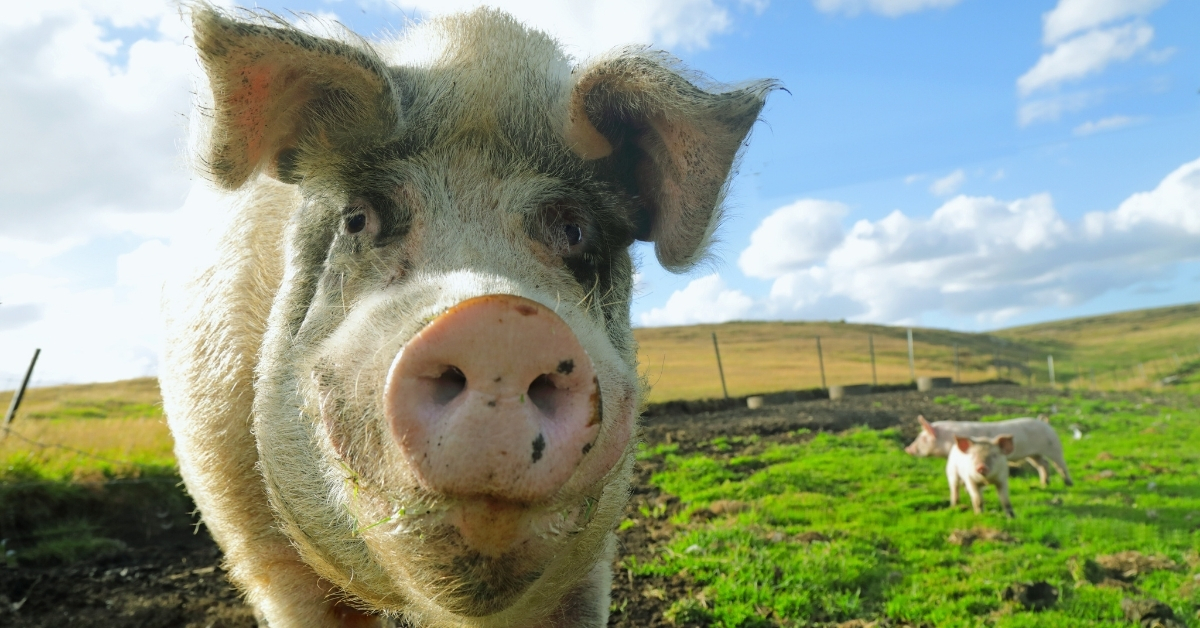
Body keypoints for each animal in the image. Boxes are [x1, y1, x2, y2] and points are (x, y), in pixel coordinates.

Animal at [905, 415, 1073, 487]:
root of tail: (1044, 422)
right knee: (1043, 464)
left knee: (1060, 464)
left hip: (1054, 447)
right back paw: (1044, 484)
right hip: (1033, 454)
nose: (907, 449)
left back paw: (1068, 484)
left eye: (923, 438)